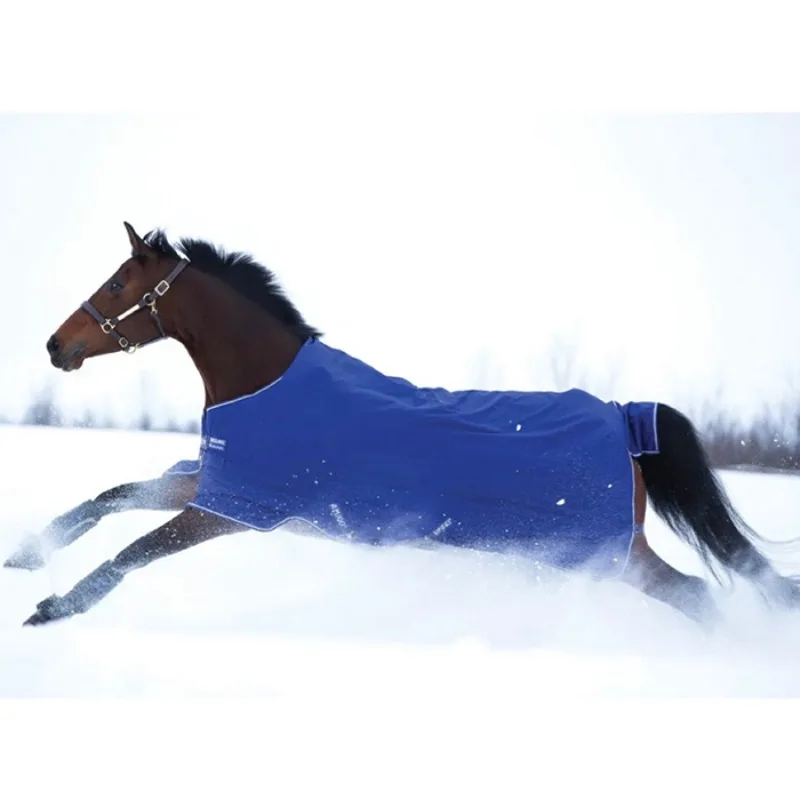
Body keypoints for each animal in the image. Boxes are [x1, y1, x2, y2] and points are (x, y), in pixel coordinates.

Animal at [7, 221, 800, 629]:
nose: (55, 346)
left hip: (614, 556)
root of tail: (627, 421)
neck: (265, 384)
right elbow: (114, 496)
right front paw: (27, 552)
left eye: (118, 284)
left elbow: (134, 550)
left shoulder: (234, 508)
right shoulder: (218, 484)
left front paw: (54, 608)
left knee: (697, 596)